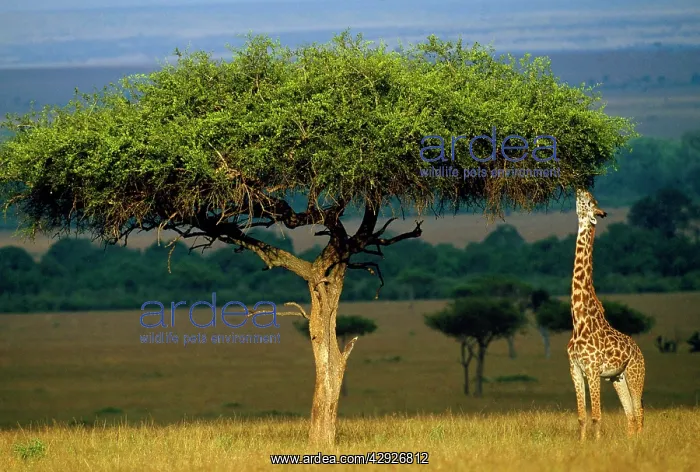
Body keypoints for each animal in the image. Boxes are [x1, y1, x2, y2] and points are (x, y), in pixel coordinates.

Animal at [567, 189, 645, 440]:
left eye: (591, 202)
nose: (580, 189)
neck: (579, 320)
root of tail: (639, 350)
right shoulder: (575, 369)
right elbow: (581, 416)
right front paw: (583, 443)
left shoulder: (592, 370)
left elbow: (596, 416)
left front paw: (597, 443)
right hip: (617, 378)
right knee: (630, 415)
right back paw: (630, 440)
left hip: (634, 373)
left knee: (639, 411)